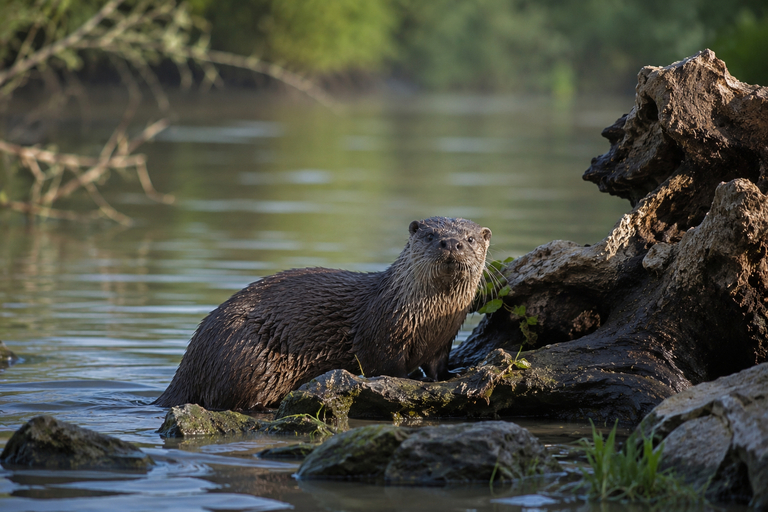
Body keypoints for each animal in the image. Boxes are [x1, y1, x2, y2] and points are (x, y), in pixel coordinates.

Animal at [154, 217, 492, 410]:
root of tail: (192, 360)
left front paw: (450, 376)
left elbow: (438, 366)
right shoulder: (380, 334)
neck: (426, 317)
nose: (451, 242)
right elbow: (384, 366)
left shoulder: (444, 338)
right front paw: (408, 381)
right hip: (247, 357)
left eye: (470, 238)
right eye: (430, 236)